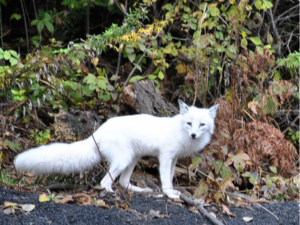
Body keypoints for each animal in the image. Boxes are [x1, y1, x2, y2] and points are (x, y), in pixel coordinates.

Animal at [14, 101, 218, 198]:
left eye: (202, 125)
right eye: (189, 123)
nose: (193, 135)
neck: (181, 132)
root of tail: (98, 132)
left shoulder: (174, 159)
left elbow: (171, 178)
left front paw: (173, 192)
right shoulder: (165, 157)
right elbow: (166, 179)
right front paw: (169, 194)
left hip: (132, 159)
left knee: (124, 182)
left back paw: (140, 191)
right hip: (123, 160)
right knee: (105, 181)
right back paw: (110, 192)